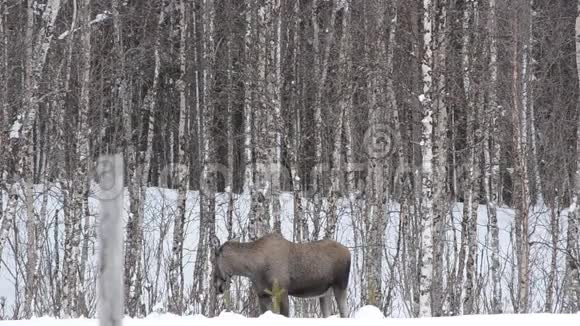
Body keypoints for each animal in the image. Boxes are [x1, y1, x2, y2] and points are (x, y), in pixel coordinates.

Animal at [211, 232, 352, 318]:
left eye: (213, 260)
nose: (217, 286)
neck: (254, 268)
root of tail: (349, 252)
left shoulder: (282, 291)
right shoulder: (263, 295)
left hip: (340, 285)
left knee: (345, 312)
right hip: (325, 292)